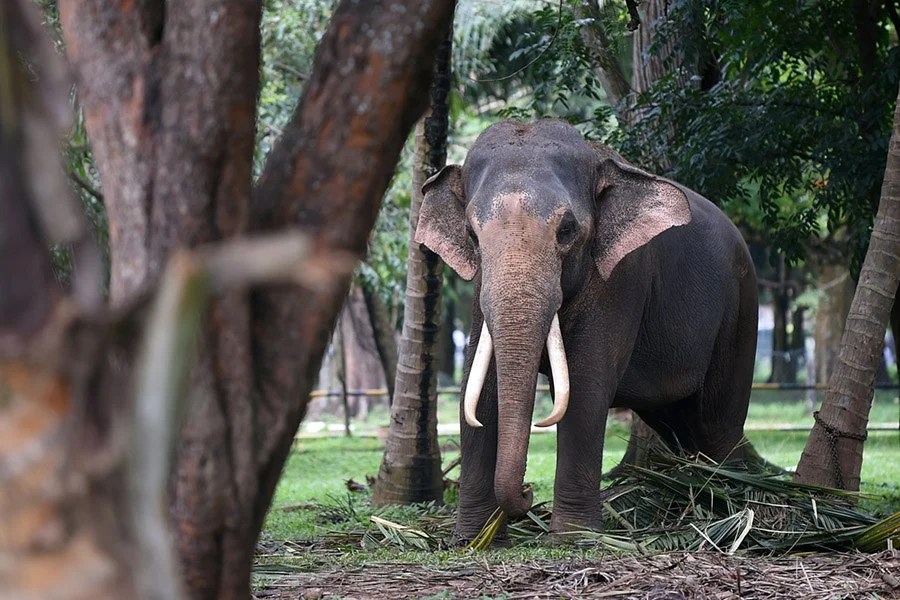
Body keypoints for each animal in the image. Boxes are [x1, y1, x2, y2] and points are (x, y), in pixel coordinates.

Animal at [415, 119, 758, 542]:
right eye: (471, 234)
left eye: (566, 229)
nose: (529, 492)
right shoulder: (481, 287)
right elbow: (482, 388)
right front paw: (473, 540)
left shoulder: (623, 278)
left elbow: (586, 385)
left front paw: (574, 537)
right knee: (679, 422)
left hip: (742, 308)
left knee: (717, 422)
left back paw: (730, 504)